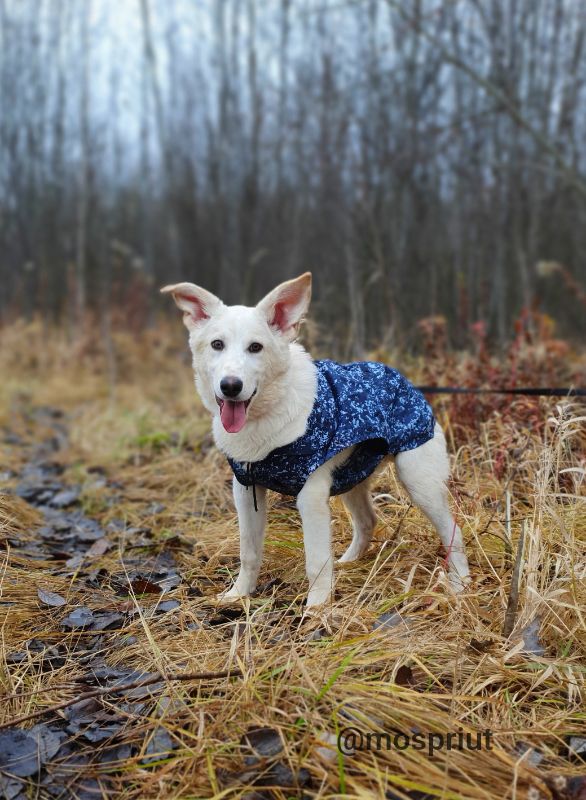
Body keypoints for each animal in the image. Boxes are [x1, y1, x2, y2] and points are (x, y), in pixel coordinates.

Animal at [163, 274, 470, 608]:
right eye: (217, 345)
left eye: (255, 347)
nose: (231, 386)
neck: (266, 415)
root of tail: (406, 382)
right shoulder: (246, 490)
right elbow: (249, 553)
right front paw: (239, 594)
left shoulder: (309, 497)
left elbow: (316, 561)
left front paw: (317, 607)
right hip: (352, 478)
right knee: (367, 521)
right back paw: (347, 563)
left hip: (420, 482)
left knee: (454, 532)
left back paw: (460, 584)